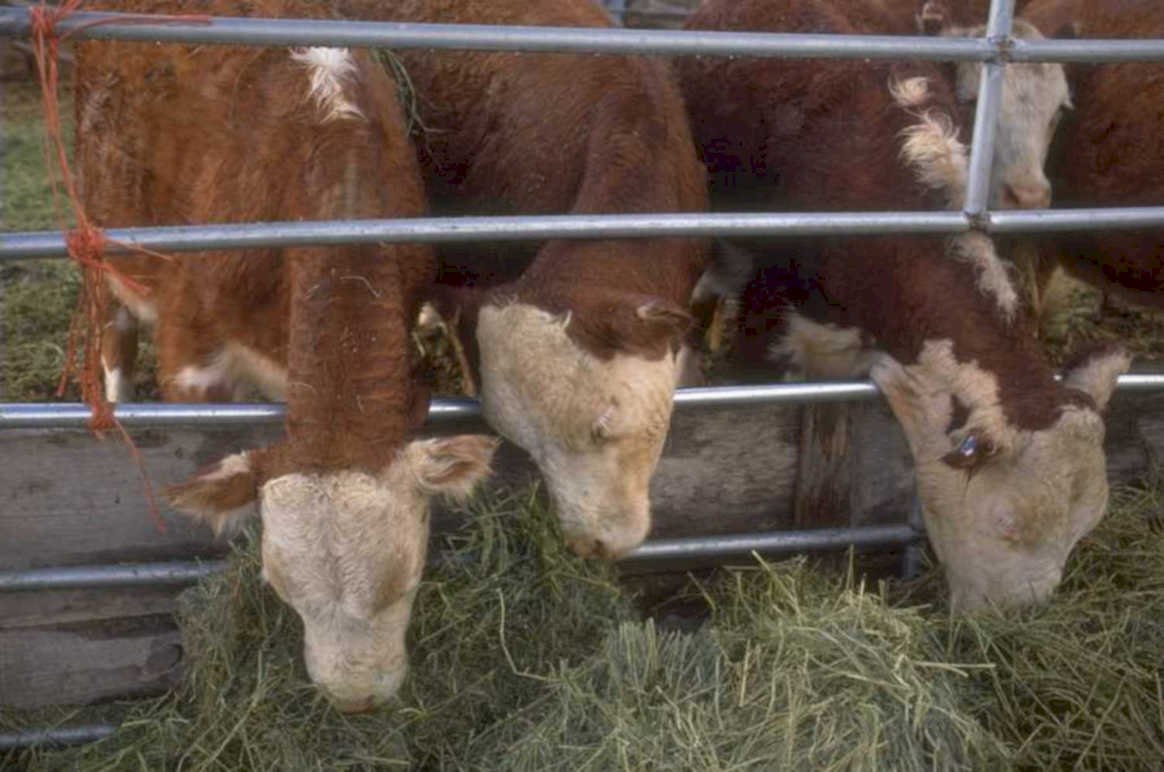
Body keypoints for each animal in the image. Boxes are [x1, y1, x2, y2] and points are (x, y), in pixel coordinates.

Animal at [77, 0, 496, 711]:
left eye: (406, 579)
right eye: (281, 592)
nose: (355, 699)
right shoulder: (193, 357)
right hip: (97, 242)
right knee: (114, 338)